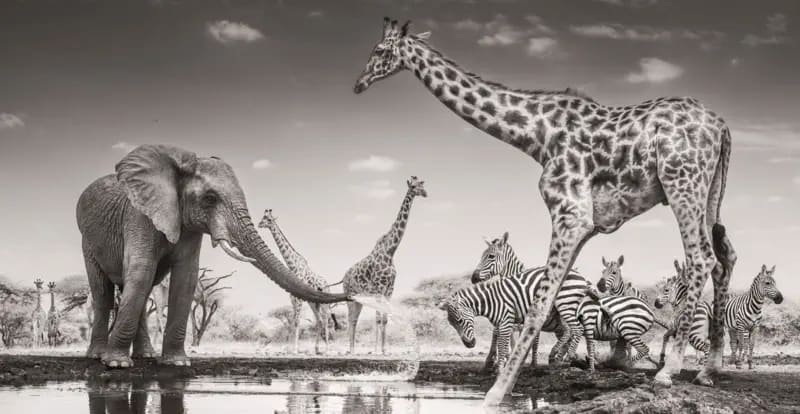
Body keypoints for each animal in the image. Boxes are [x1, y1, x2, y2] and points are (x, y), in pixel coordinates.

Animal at [77, 144, 349, 367]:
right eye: (210, 198)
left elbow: (186, 278)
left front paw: (177, 363)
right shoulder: (138, 216)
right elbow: (142, 272)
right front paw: (116, 365)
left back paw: (145, 356)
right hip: (87, 240)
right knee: (104, 291)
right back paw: (99, 356)